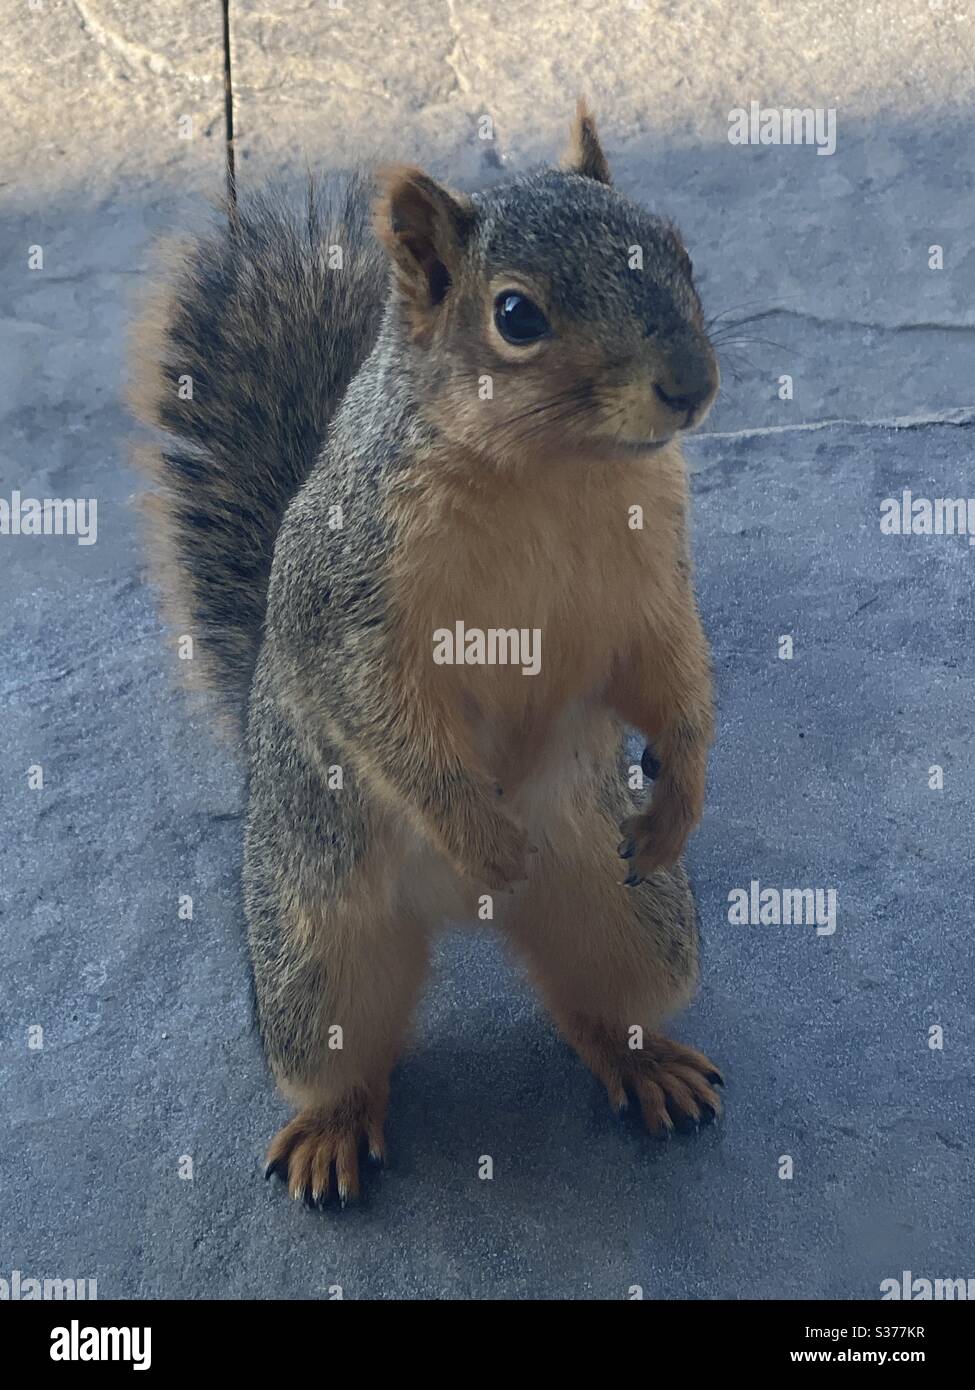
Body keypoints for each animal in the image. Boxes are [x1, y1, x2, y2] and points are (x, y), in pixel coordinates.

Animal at [129, 102, 723, 1206]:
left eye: (681, 253)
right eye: (516, 315)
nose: (691, 386)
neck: (554, 468)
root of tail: (467, 918)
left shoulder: (653, 583)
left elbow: (670, 675)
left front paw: (684, 790)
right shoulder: (349, 604)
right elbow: (380, 714)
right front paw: (478, 830)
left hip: (632, 915)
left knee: (596, 1003)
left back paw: (644, 1061)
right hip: (310, 945)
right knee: (344, 1054)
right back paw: (332, 1124)